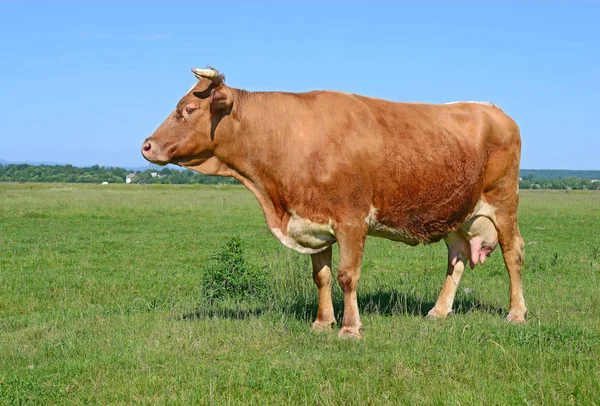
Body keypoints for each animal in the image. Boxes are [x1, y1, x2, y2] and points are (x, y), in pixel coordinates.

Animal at [141, 67, 524, 340]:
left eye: (188, 109)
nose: (146, 145)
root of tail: (491, 108)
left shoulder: (351, 221)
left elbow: (346, 276)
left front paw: (350, 328)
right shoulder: (313, 224)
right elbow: (321, 277)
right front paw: (322, 322)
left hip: (503, 201)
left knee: (513, 254)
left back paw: (516, 314)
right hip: (458, 213)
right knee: (456, 258)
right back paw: (438, 312)